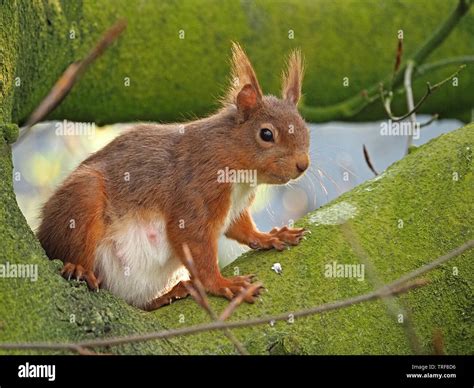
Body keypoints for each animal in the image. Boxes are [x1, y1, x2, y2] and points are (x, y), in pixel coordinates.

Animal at [38, 41, 312, 310]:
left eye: (305, 128)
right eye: (266, 134)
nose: (303, 164)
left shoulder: (234, 207)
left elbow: (241, 228)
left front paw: (269, 236)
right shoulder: (196, 190)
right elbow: (194, 242)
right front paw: (222, 284)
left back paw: (170, 294)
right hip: (83, 197)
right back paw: (79, 268)